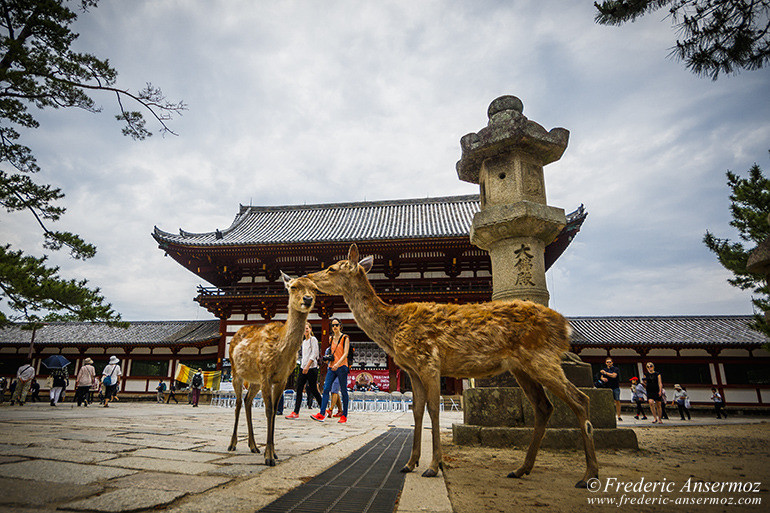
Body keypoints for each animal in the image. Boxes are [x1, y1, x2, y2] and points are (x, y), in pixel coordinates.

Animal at [226, 272, 316, 464]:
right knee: (238, 402)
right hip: (236, 372)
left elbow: (275, 411)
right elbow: (268, 410)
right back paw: (232, 444)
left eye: (314, 288)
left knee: (247, 401)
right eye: (293, 286)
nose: (307, 298)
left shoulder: (281, 379)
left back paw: (253, 446)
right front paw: (269, 458)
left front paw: (273, 453)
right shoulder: (266, 373)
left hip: (254, 380)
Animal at [306, 242, 600, 486]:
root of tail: (565, 327)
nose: (307, 278)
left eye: (331, 269)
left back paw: (589, 475)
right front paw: (410, 463)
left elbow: (434, 410)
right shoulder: (412, 370)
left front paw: (433, 466)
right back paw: (521, 469)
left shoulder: (429, 361)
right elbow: (416, 411)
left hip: (542, 358)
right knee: (544, 406)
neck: (392, 329)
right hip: (522, 368)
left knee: (580, 399)